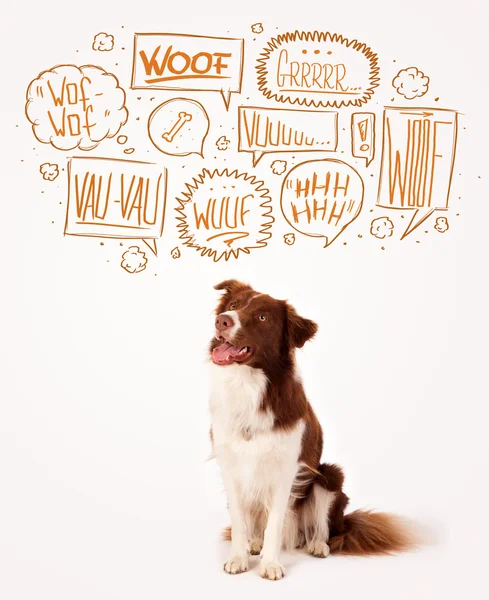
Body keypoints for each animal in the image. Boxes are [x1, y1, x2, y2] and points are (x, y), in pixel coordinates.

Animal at [208, 278, 414, 580]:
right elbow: (238, 519)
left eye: (262, 317)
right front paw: (238, 557)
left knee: (322, 527)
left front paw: (271, 564)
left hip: (329, 476)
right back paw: (254, 543)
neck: (249, 386)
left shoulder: (286, 468)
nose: (222, 320)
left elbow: (274, 523)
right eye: (233, 305)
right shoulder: (230, 465)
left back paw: (317, 545)